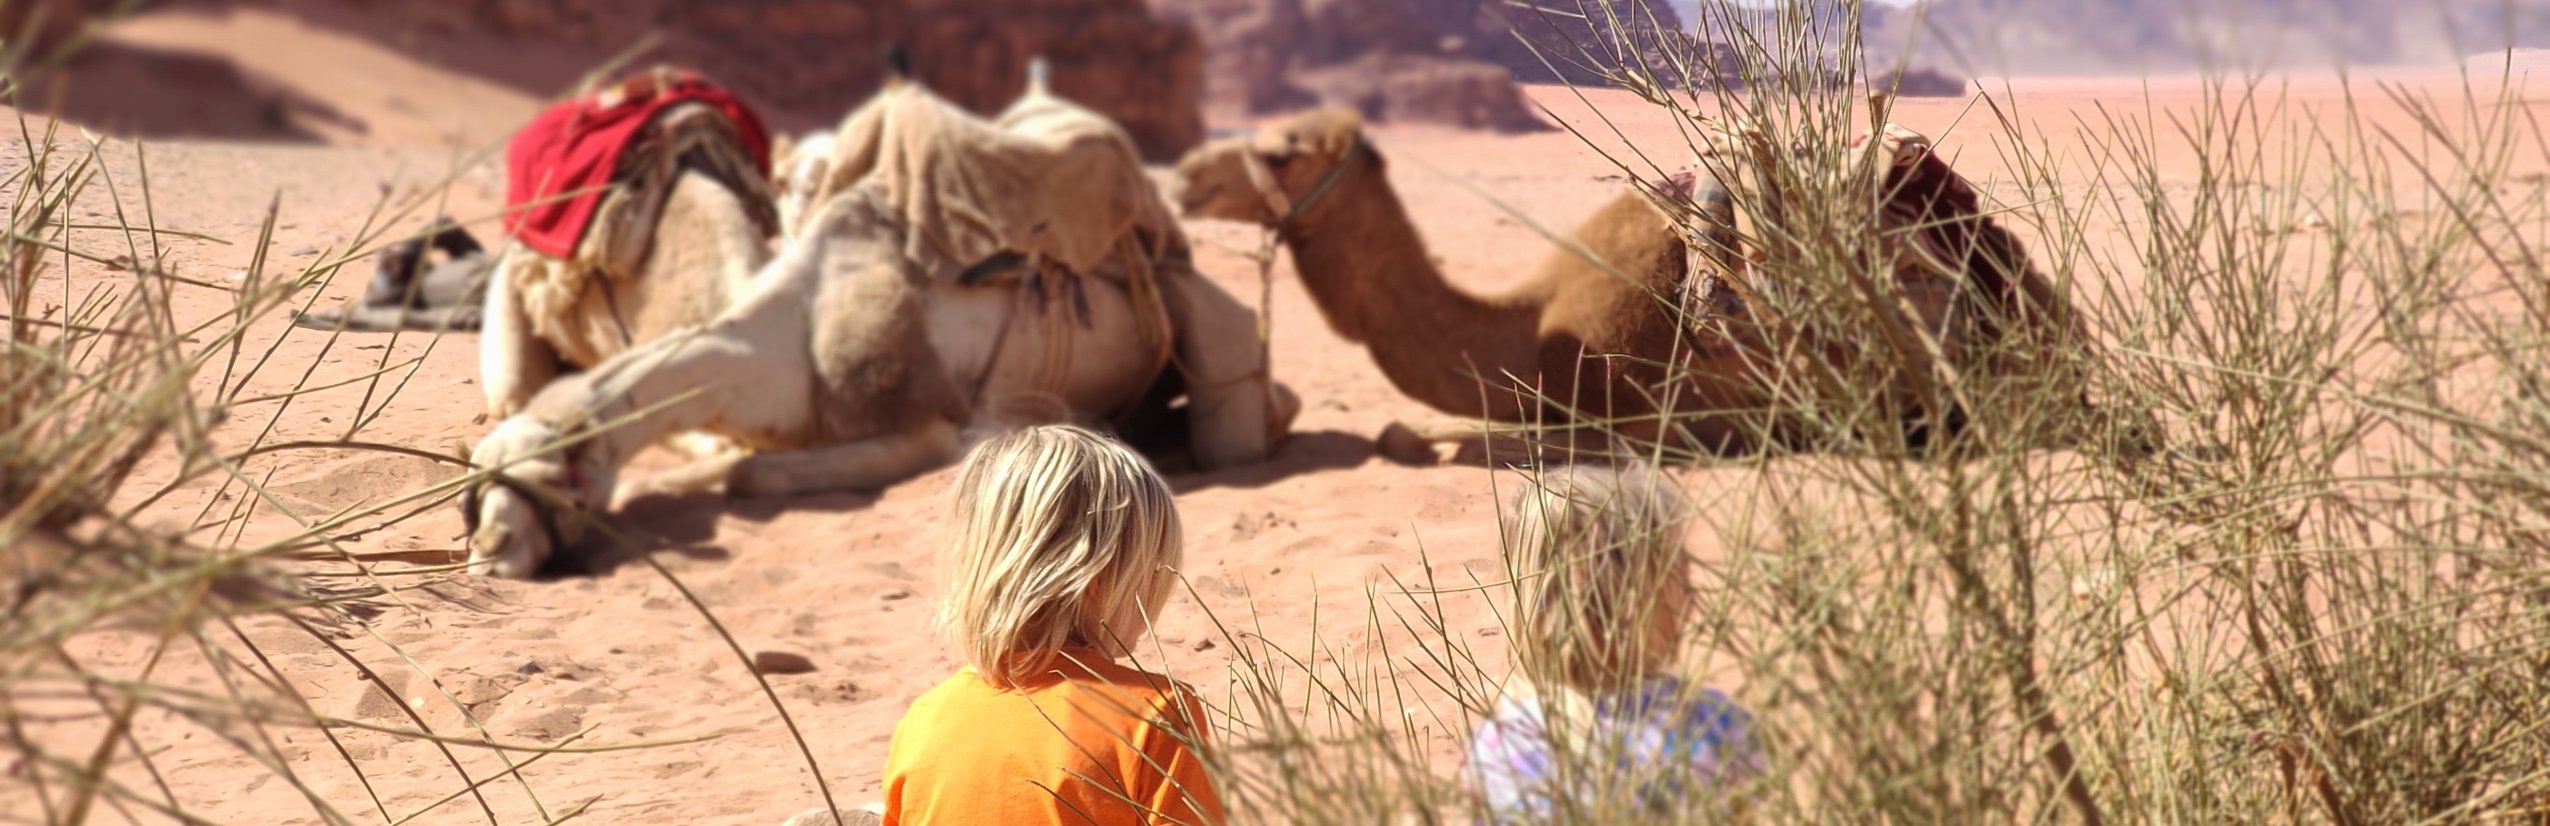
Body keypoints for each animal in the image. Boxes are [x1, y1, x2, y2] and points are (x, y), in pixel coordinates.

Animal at [459, 67, 1295, 578]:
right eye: (478, 473)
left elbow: (751, 471)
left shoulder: (922, 424)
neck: (786, 337)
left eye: (559, 480)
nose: (490, 548)